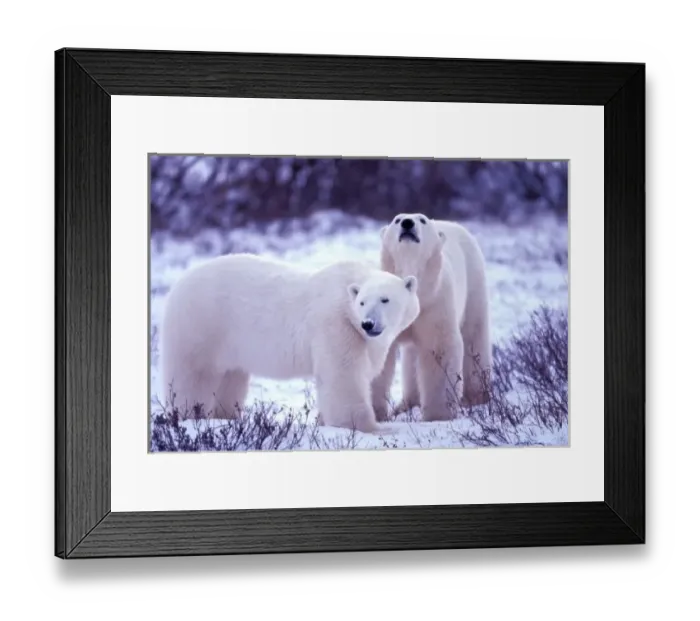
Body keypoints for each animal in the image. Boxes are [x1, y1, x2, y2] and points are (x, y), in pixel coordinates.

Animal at [159, 253, 420, 433]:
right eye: (363, 302)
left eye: (385, 299)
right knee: (194, 377)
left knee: (230, 379)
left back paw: (225, 417)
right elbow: (343, 377)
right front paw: (370, 427)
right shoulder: (335, 324)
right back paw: (190, 416)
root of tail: (177, 285)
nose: (368, 323)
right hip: (201, 326)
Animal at [371, 213, 492, 422]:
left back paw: (476, 398)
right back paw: (407, 405)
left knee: (474, 336)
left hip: (474, 281)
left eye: (422, 220)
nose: (407, 223)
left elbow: (439, 348)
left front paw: (438, 415)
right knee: (411, 358)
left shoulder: (435, 302)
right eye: (397, 219)